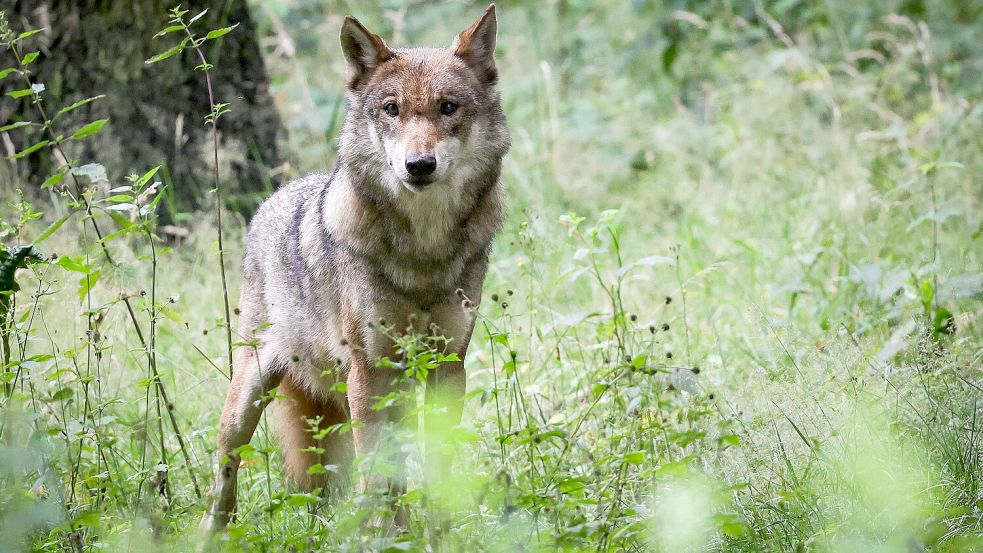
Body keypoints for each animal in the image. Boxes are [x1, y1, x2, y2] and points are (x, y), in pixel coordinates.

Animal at [198, 3, 508, 532]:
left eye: (448, 107)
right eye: (391, 109)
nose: (418, 165)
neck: (423, 252)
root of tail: (275, 198)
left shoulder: (448, 366)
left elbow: (438, 464)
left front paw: (441, 530)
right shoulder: (368, 370)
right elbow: (375, 471)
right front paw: (382, 534)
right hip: (249, 397)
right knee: (224, 473)